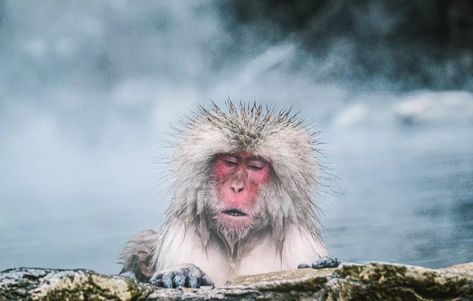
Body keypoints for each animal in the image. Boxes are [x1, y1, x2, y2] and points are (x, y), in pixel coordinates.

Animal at [120, 102, 338, 288]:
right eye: (230, 162)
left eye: (255, 166)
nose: (237, 187)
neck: (237, 245)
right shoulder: (181, 238)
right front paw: (182, 271)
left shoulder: (300, 245)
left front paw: (322, 264)